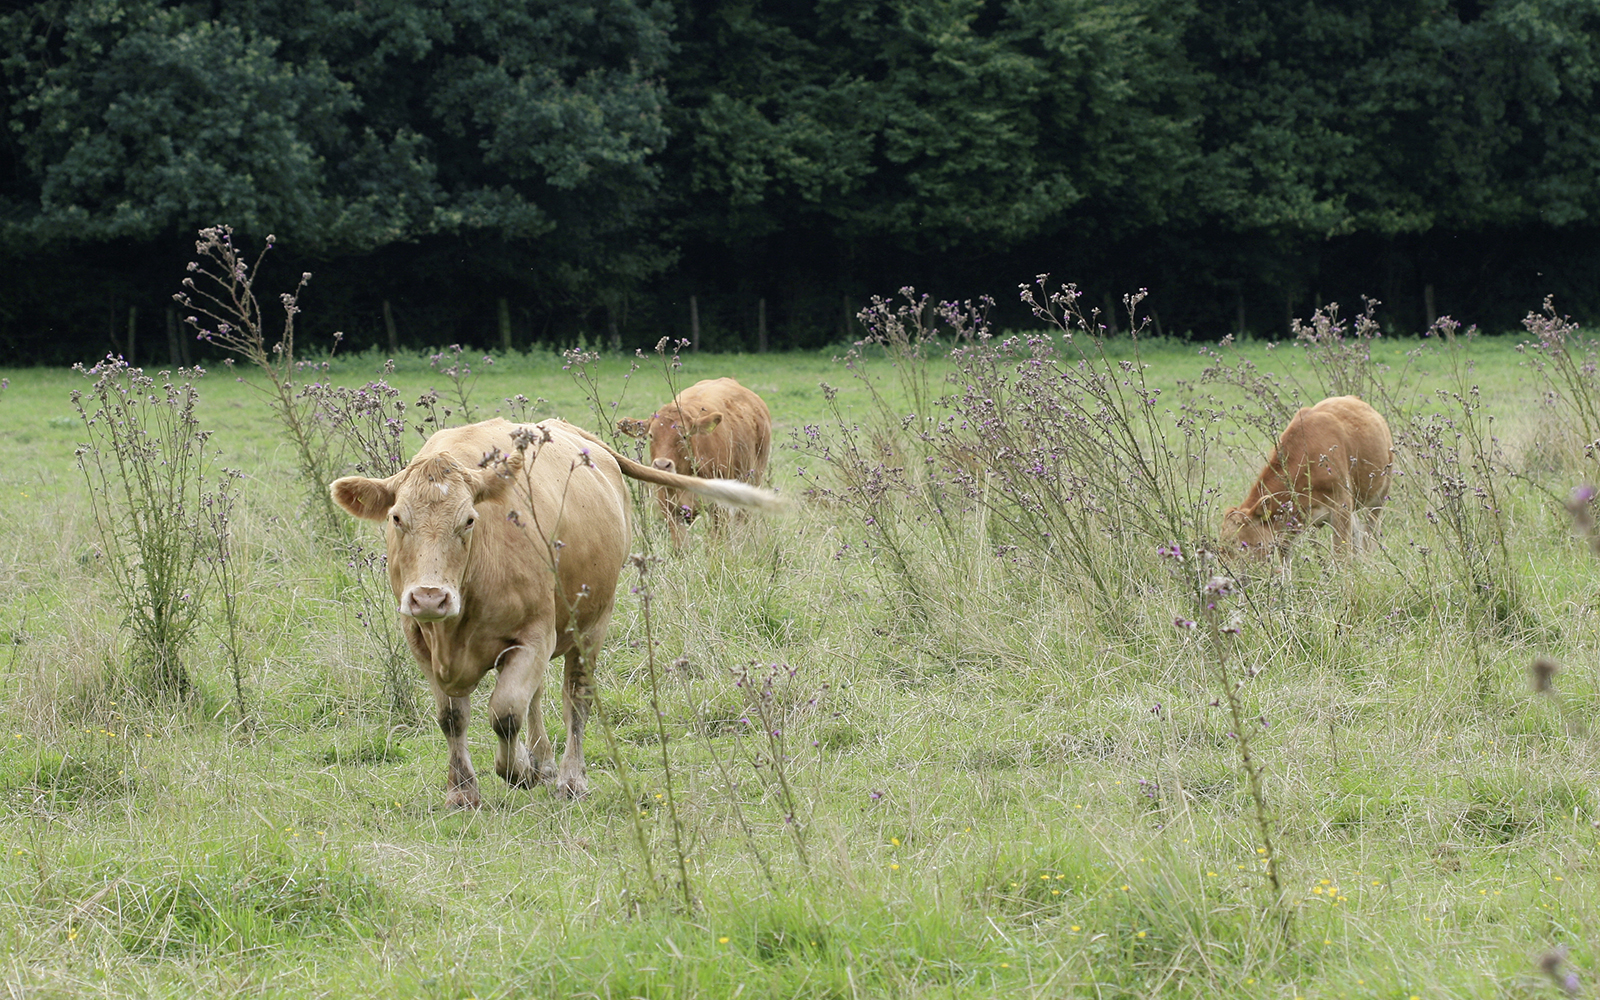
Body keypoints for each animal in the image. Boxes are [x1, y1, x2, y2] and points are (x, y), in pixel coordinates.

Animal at [330, 417, 779, 807]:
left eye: (469, 520)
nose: (428, 597)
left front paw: (517, 770)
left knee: (574, 699)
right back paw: (543, 761)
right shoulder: (421, 640)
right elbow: (452, 717)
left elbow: (505, 711)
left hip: (592, 625)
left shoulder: (533, 635)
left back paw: (569, 778)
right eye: (396, 518)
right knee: (539, 694)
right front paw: (463, 792)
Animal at [618, 377, 773, 545]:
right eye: (651, 435)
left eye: (684, 436)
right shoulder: (670, 509)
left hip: (752, 480)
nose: (662, 465)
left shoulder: (719, 509)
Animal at [1221, 395, 1393, 560]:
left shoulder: (1341, 508)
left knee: (1369, 536)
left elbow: (1341, 555)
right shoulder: (1290, 522)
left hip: (1379, 496)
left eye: (1236, 543)